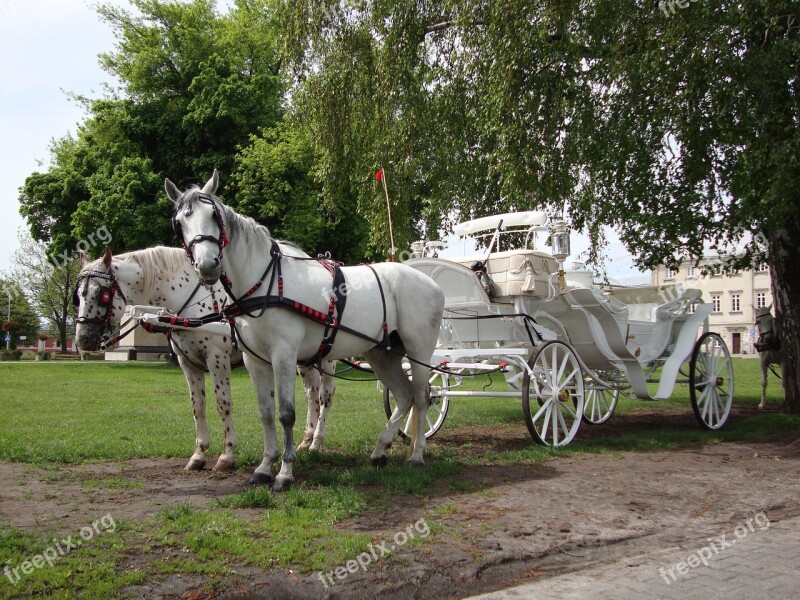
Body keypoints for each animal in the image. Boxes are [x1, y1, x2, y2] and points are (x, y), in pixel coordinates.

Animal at [166, 171, 446, 490]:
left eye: (214, 215)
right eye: (180, 223)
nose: (208, 265)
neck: (265, 283)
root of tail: (431, 283)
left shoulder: (284, 355)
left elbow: (287, 413)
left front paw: (285, 471)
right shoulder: (255, 360)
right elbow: (266, 413)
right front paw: (264, 466)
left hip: (418, 351)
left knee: (422, 396)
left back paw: (417, 455)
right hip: (381, 353)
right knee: (404, 395)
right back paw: (380, 450)